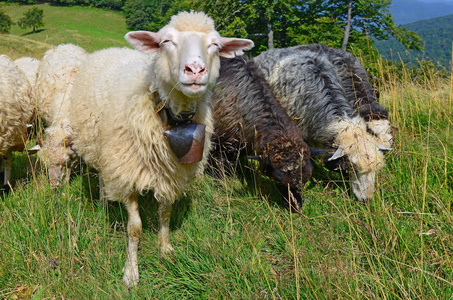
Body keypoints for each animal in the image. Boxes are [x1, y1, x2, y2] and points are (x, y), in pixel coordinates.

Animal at [69, 11, 254, 286]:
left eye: (215, 45)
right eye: (166, 41)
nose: (195, 70)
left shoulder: (171, 174)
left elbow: (165, 214)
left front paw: (165, 250)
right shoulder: (127, 171)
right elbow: (134, 228)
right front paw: (131, 272)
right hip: (103, 148)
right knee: (102, 174)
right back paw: (103, 201)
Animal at [209, 56, 312, 211]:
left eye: (305, 180)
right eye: (278, 180)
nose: (295, 208)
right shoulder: (221, 142)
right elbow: (221, 168)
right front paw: (223, 185)